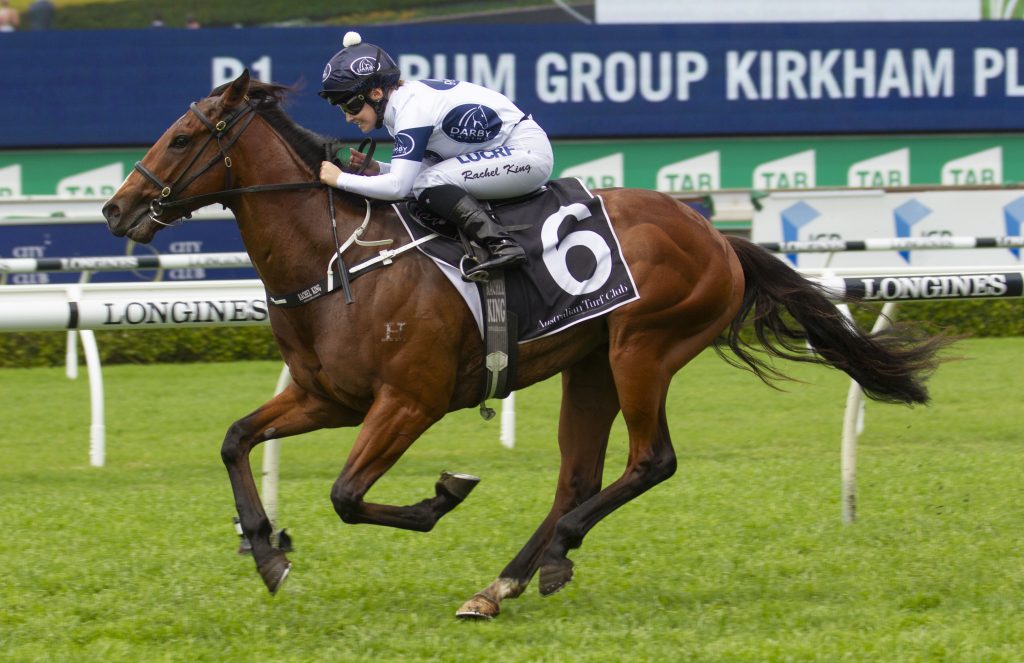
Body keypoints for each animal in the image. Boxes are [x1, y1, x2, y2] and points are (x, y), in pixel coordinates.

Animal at [102, 71, 950, 619]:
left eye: (182, 136)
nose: (115, 207)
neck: (336, 260)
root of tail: (717, 235)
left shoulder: (409, 401)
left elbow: (347, 494)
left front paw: (443, 495)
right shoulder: (325, 396)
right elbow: (235, 439)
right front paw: (267, 548)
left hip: (644, 348)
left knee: (651, 461)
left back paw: (551, 554)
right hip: (591, 365)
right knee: (577, 477)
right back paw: (504, 582)